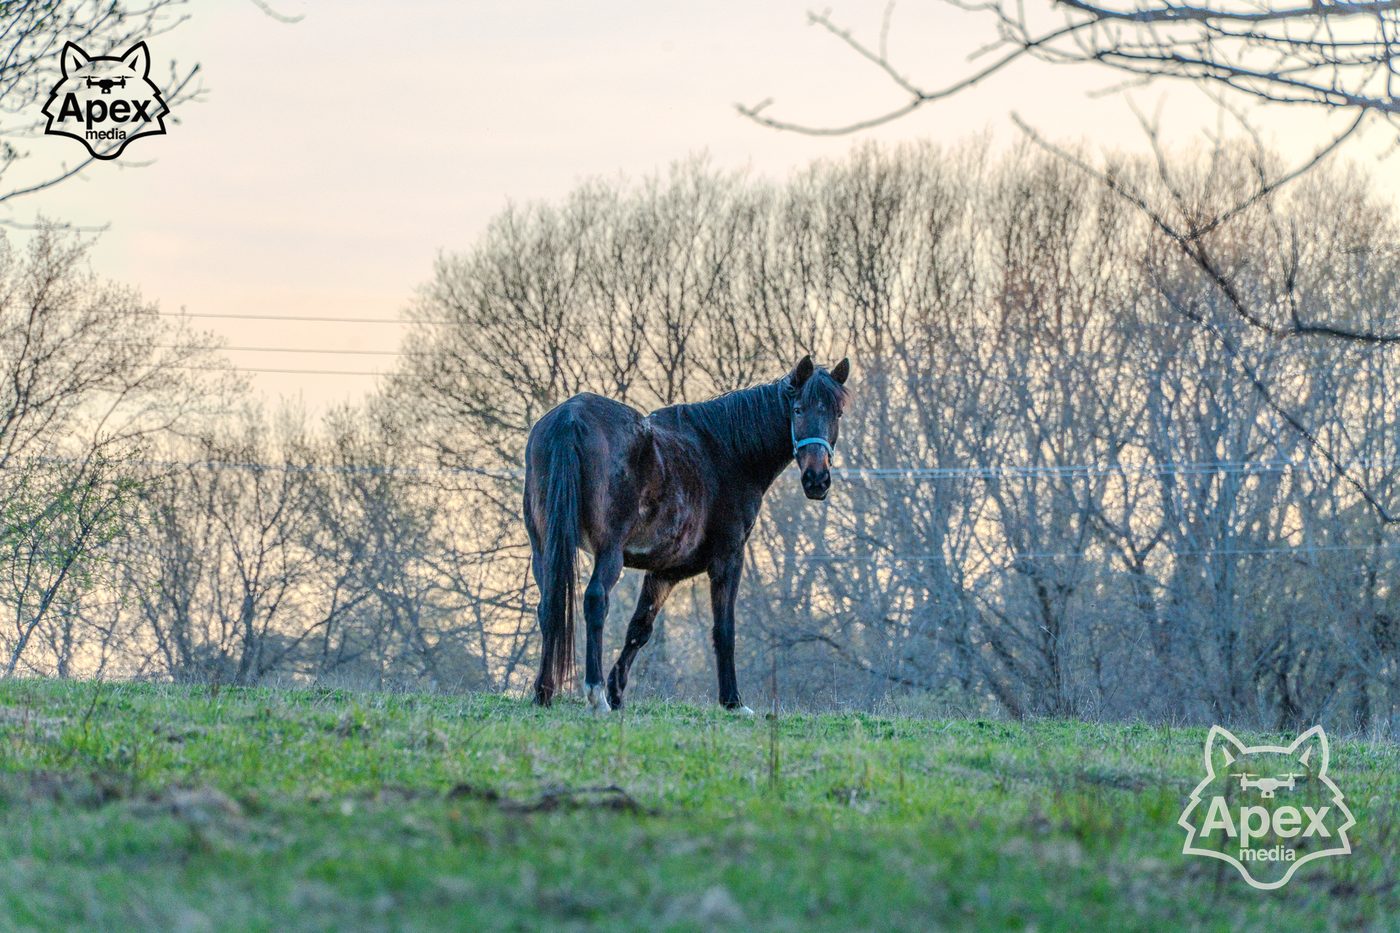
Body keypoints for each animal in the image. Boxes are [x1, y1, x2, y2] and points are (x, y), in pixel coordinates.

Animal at [523, 355, 851, 713]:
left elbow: (640, 628)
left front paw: (617, 691)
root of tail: (570, 417)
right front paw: (732, 701)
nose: (817, 480)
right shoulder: (728, 558)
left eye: (836, 413)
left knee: (549, 607)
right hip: (608, 552)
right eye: (798, 410)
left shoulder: (665, 571)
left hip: (544, 550)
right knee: (595, 601)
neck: (726, 452)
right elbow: (724, 630)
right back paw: (595, 695)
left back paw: (544, 692)